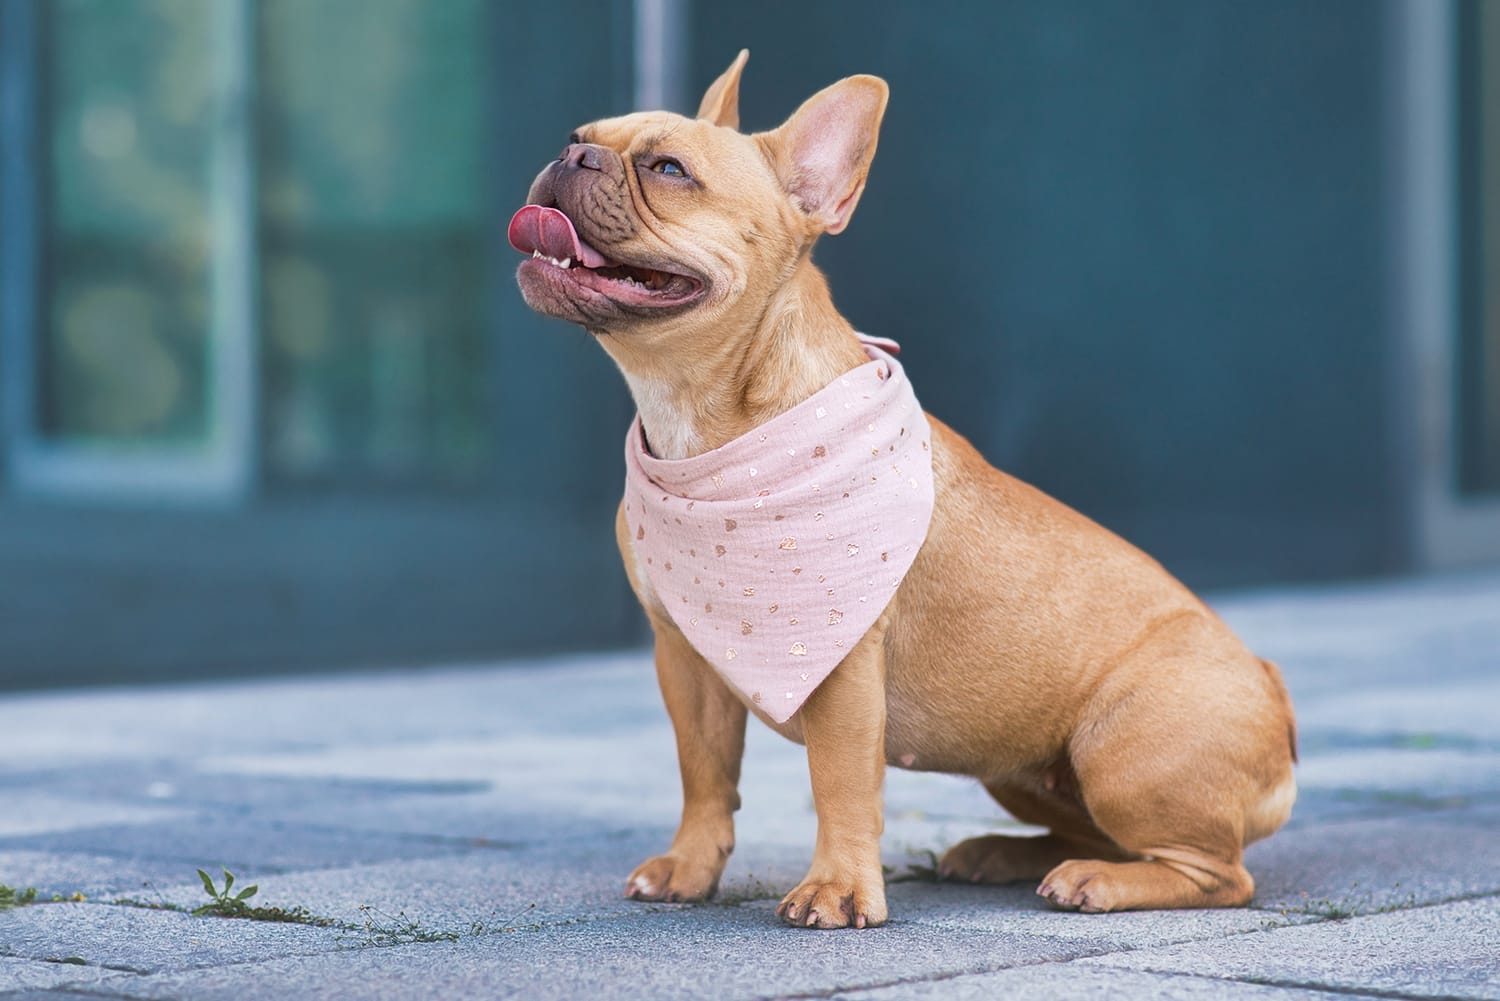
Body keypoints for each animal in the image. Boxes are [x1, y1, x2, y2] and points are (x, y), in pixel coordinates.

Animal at [510, 51, 1296, 930]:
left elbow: (841, 780)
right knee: (1105, 834)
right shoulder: (684, 655)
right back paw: (1003, 854)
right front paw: (689, 867)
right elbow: (704, 771)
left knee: (1217, 873)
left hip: (1123, 751)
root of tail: (1273, 687)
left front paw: (837, 890)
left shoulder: (842, 663)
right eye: (579, 135)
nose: (571, 156)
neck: (701, 418)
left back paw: (1097, 881)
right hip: (1022, 768)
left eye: (669, 169)